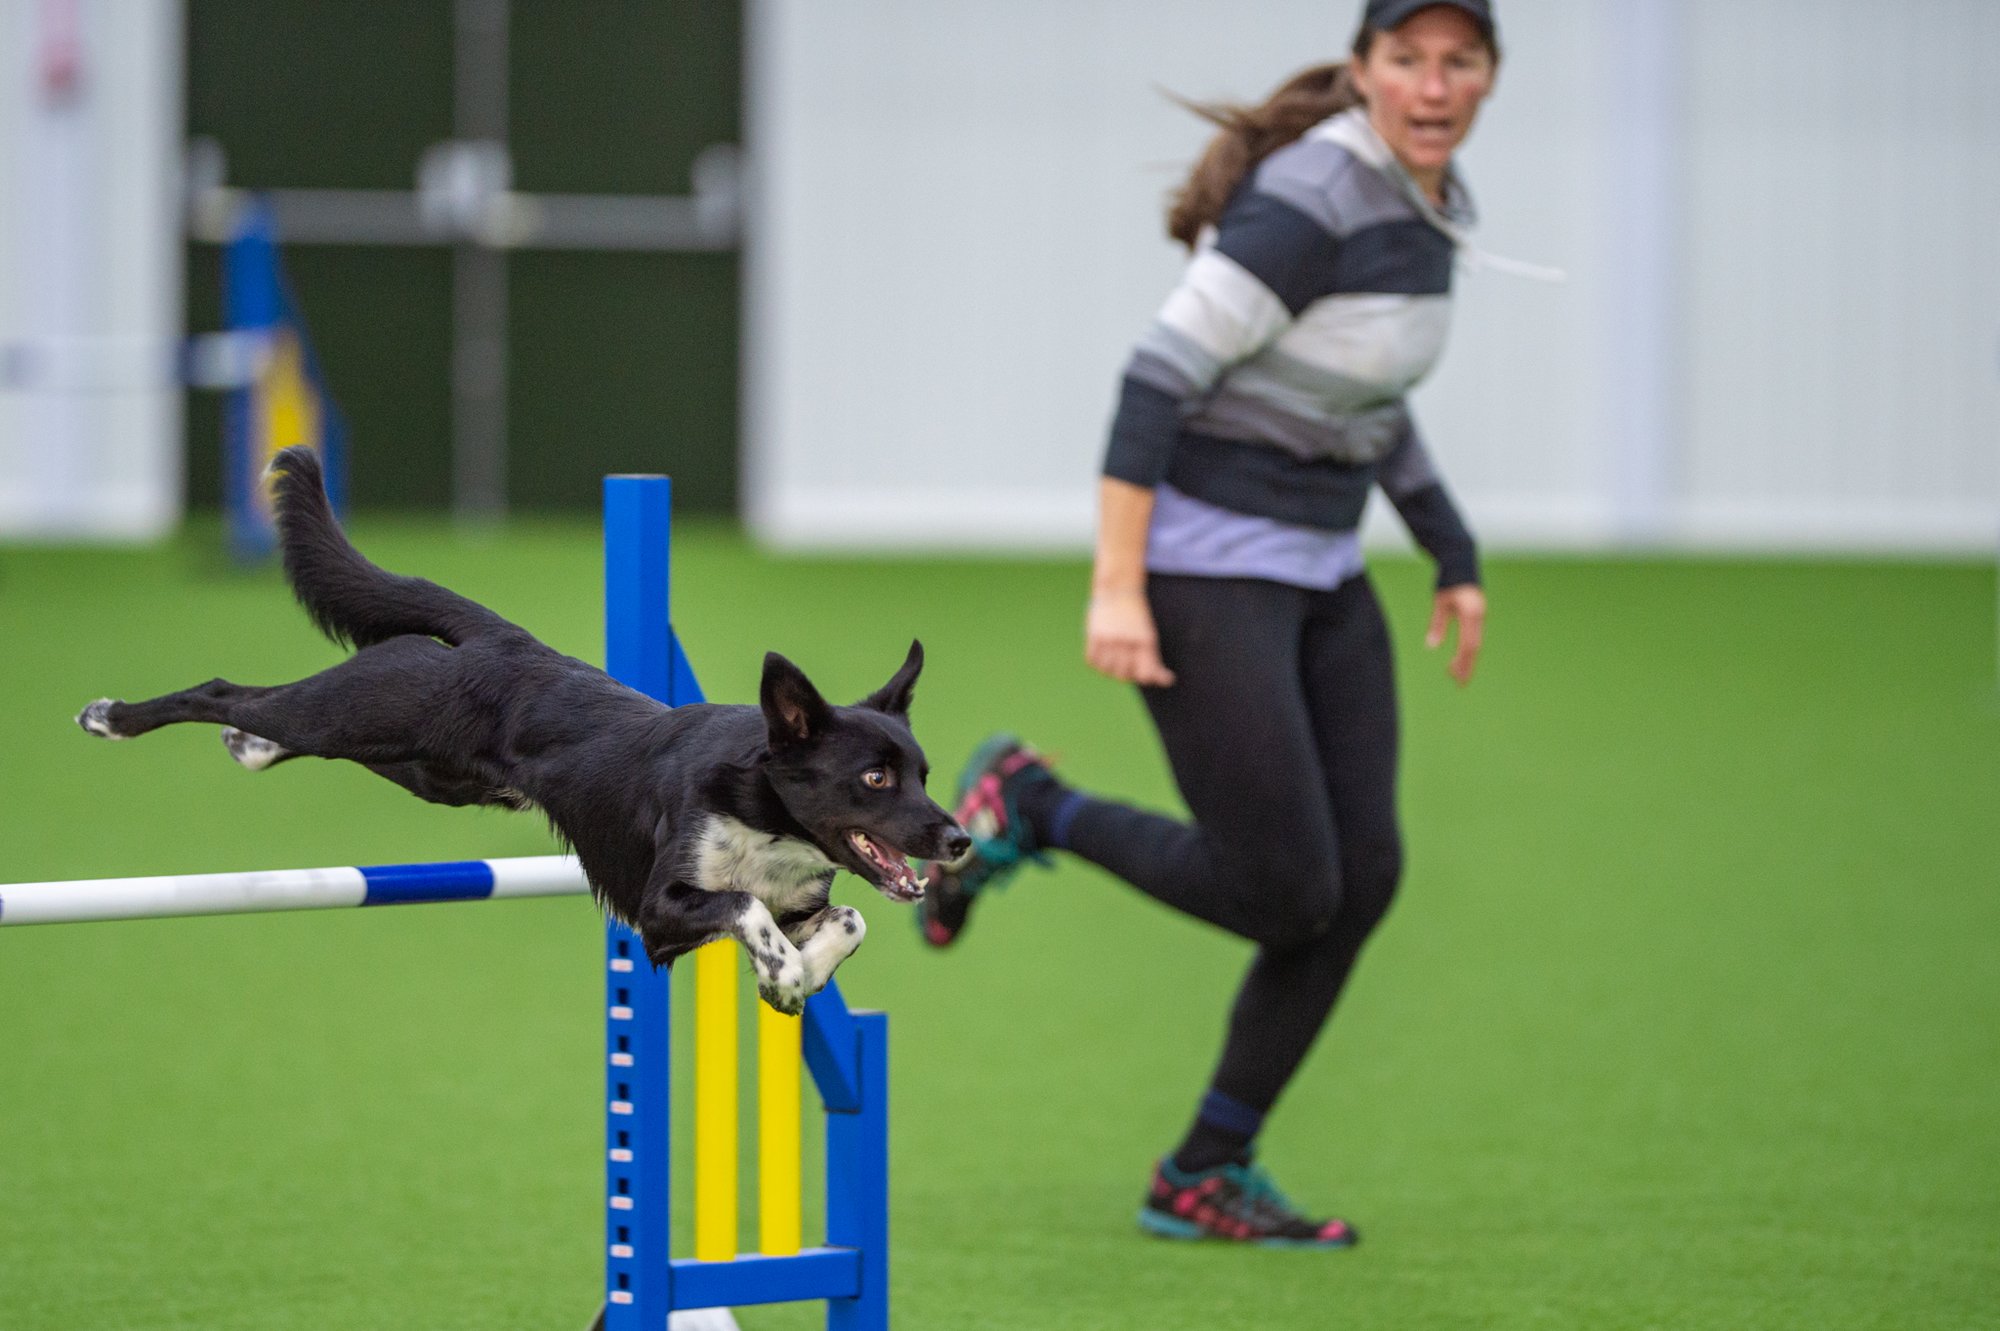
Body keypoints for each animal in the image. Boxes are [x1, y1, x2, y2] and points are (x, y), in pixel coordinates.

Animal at [82, 445, 972, 1007]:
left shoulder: (799, 900)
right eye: (875, 777)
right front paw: (785, 973)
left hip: (429, 768)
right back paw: (111, 717)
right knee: (225, 689)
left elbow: (848, 918)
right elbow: (745, 906)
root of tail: (504, 639)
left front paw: (798, 974)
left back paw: (246, 746)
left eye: (924, 772)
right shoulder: (659, 907)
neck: (766, 809)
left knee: (271, 722)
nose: (960, 838)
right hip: (369, 705)